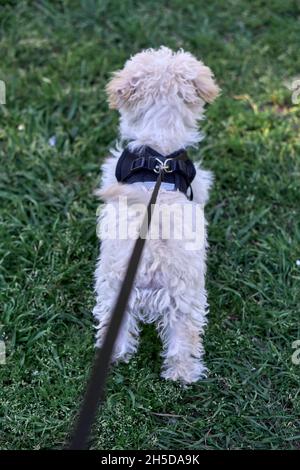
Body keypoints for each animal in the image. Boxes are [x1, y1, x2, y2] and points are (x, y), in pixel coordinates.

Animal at [92, 46, 219, 384]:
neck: (160, 152)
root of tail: (153, 261)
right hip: (181, 301)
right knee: (183, 340)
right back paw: (180, 374)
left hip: (115, 291)